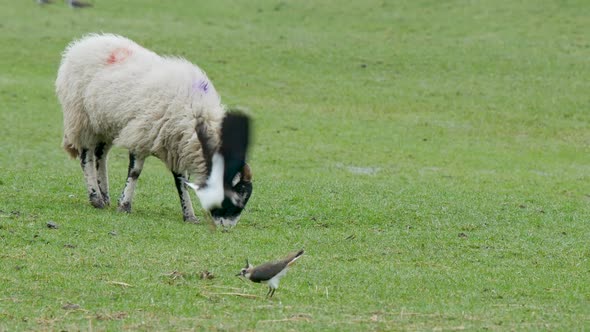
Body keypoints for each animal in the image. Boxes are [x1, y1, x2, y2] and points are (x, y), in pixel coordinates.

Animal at [56, 33, 256, 228]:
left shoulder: (178, 145)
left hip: (105, 123)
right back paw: (95, 198)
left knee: (100, 156)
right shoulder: (142, 133)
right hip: (81, 118)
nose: (227, 228)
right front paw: (124, 205)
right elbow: (135, 173)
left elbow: (181, 182)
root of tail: (82, 43)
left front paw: (189, 215)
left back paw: (104, 196)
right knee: (86, 157)